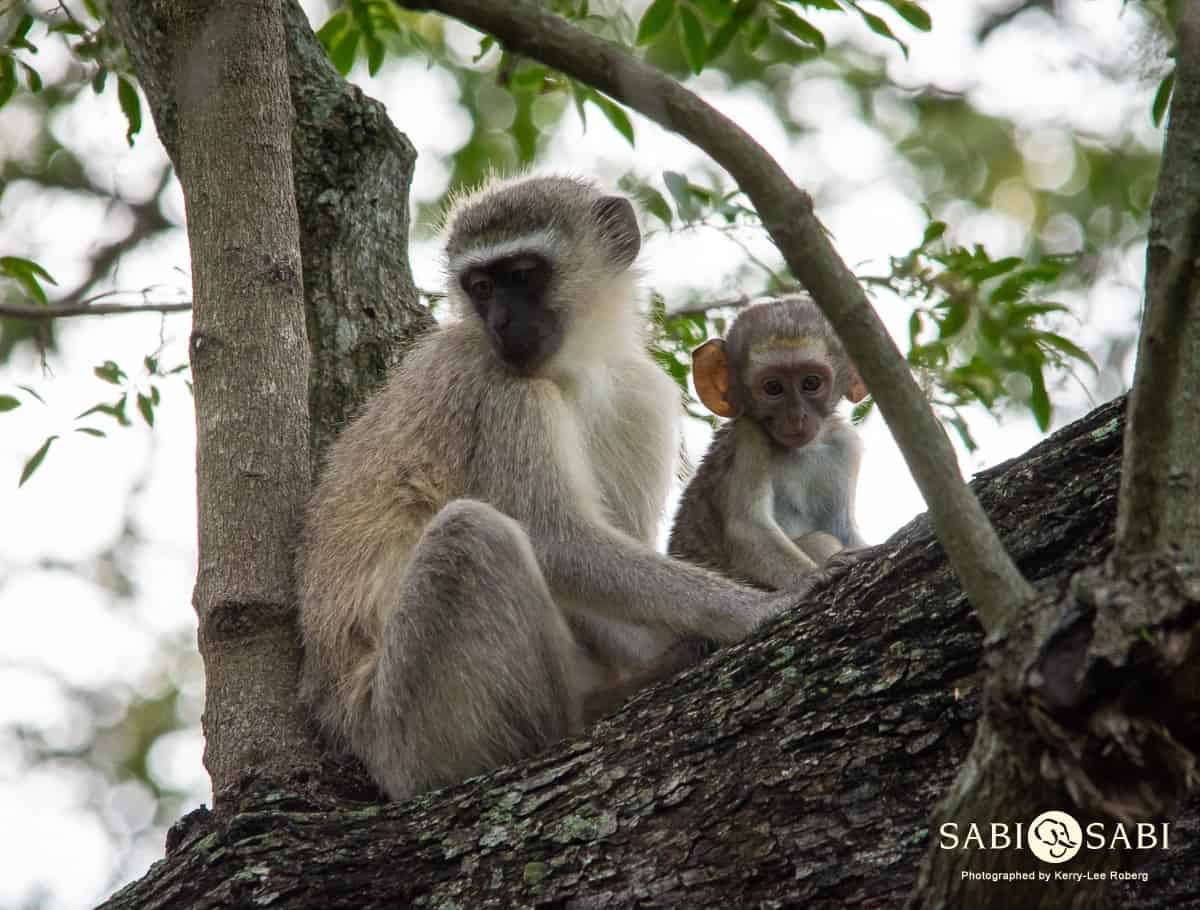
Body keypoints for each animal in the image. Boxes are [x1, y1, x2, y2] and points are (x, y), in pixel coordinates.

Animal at [294, 174, 801, 801]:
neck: (576, 368)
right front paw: (757, 610)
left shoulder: (641, 396)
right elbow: (556, 541)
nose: (500, 324)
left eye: (523, 274)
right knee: (473, 533)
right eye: (481, 286)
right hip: (409, 731)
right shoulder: (503, 392)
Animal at [667, 297, 873, 590]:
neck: (801, 450)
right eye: (773, 387)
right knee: (820, 540)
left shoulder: (845, 445)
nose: (796, 416)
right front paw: (810, 577)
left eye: (811, 382)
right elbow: (745, 529)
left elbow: (844, 532)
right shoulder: (748, 437)